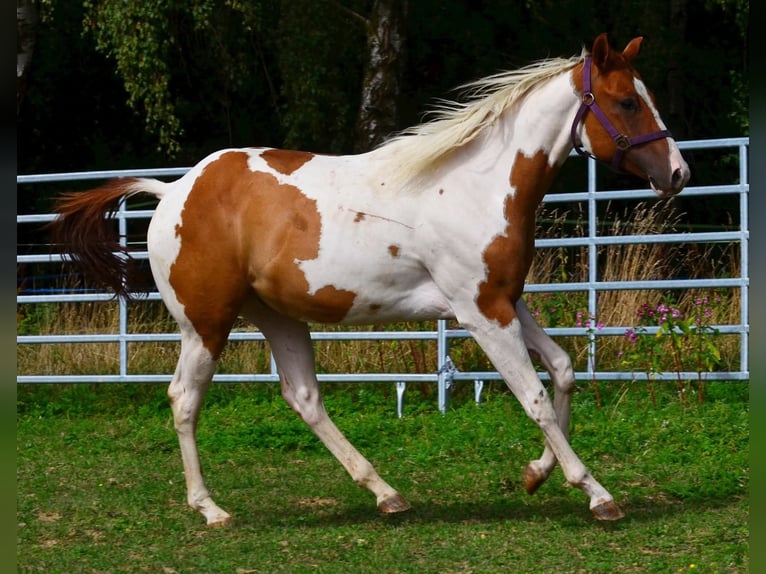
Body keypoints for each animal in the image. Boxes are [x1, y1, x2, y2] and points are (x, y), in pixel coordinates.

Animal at [51, 33, 689, 526]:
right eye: (626, 102)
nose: (679, 173)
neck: (477, 185)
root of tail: (173, 192)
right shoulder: (481, 311)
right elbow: (532, 396)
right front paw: (598, 495)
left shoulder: (505, 301)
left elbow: (562, 369)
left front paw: (536, 474)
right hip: (205, 325)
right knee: (185, 400)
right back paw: (211, 509)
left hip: (276, 317)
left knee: (304, 398)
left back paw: (387, 495)